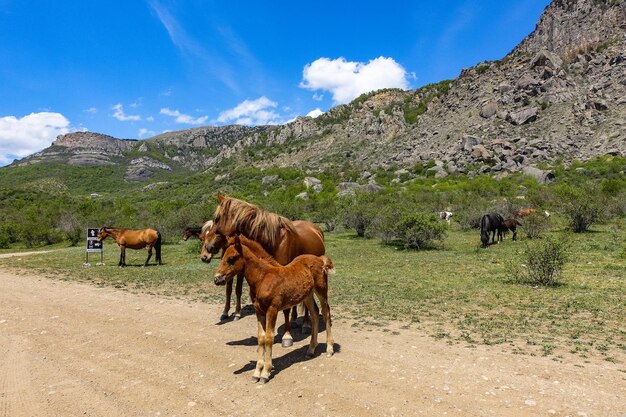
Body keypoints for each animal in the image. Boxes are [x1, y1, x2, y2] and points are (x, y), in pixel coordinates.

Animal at [211, 193, 326, 346]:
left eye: (216, 218)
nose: (209, 246)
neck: (275, 240)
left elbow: (286, 310)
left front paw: (287, 336)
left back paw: (306, 324)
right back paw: (294, 320)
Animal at [213, 232, 334, 382]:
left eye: (231, 258)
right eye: (222, 256)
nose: (217, 279)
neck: (262, 278)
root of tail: (320, 259)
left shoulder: (272, 309)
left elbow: (269, 338)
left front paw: (265, 372)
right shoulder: (259, 311)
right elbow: (261, 338)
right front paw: (256, 372)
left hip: (321, 290)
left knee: (326, 312)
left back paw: (329, 349)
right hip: (308, 295)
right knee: (315, 313)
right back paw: (311, 350)